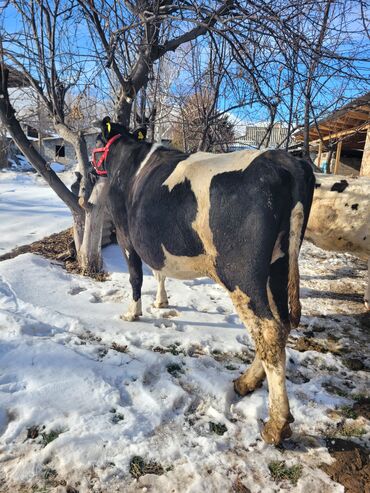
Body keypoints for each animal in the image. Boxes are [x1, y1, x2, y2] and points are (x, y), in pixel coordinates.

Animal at [93, 117, 316, 444]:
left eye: (97, 138)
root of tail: (286, 160)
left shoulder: (125, 235)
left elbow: (135, 276)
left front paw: (132, 313)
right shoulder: (154, 242)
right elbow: (159, 270)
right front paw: (161, 301)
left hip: (241, 274)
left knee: (268, 329)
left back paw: (276, 424)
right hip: (279, 264)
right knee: (281, 324)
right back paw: (246, 382)